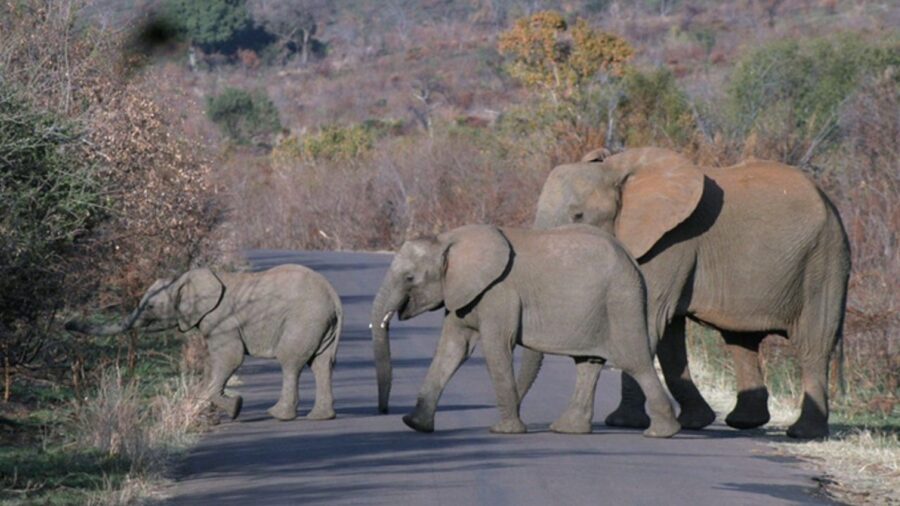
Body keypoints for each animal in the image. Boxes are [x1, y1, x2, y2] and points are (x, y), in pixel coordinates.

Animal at [67, 264, 342, 422]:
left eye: (151, 306)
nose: (68, 324)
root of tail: (333, 297)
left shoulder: (222, 321)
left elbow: (231, 358)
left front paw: (235, 408)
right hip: (321, 325)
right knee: (321, 364)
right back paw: (321, 417)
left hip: (304, 319)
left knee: (291, 362)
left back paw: (278, 415)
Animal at [370, 223, 680, 436]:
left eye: (410, 278)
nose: (383, 411)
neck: (447, 240)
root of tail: (631, 260)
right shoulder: (464, 295)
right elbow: (453, 349)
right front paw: (415, 425)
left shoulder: (498, 293)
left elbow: (496, 348)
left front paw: (504, 431)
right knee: (588, 363)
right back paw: (567, 429)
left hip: (621, 300)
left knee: (634, 361)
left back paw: (662, 433)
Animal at [520, 146, 852, 438]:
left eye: (577, 215)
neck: (616, 169)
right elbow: (667, 337)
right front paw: (690, 422)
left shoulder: (671, 240)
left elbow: (645, 321)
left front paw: (622, 423)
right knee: (740, 340)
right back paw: (744, 422)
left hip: (824, 262)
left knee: (813, 345)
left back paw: (803, 433)